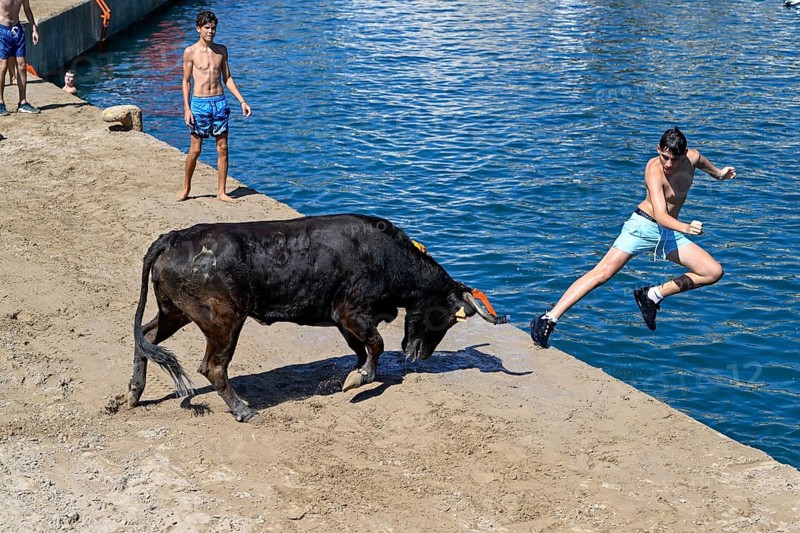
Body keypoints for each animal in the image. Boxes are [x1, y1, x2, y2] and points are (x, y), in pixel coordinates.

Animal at [129, 214, 505, 422]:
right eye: (446, 318)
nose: (421, 355)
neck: (388, 256)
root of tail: (174, 238)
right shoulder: (351, 312)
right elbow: (376, 344)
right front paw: (358, 380)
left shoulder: (343, 320)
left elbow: (362, 349)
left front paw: (357, 373)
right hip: (223, 321)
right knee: (213, 367)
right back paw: (243, 410)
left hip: (175, 311)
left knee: (146, 337)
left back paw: (133, 392)